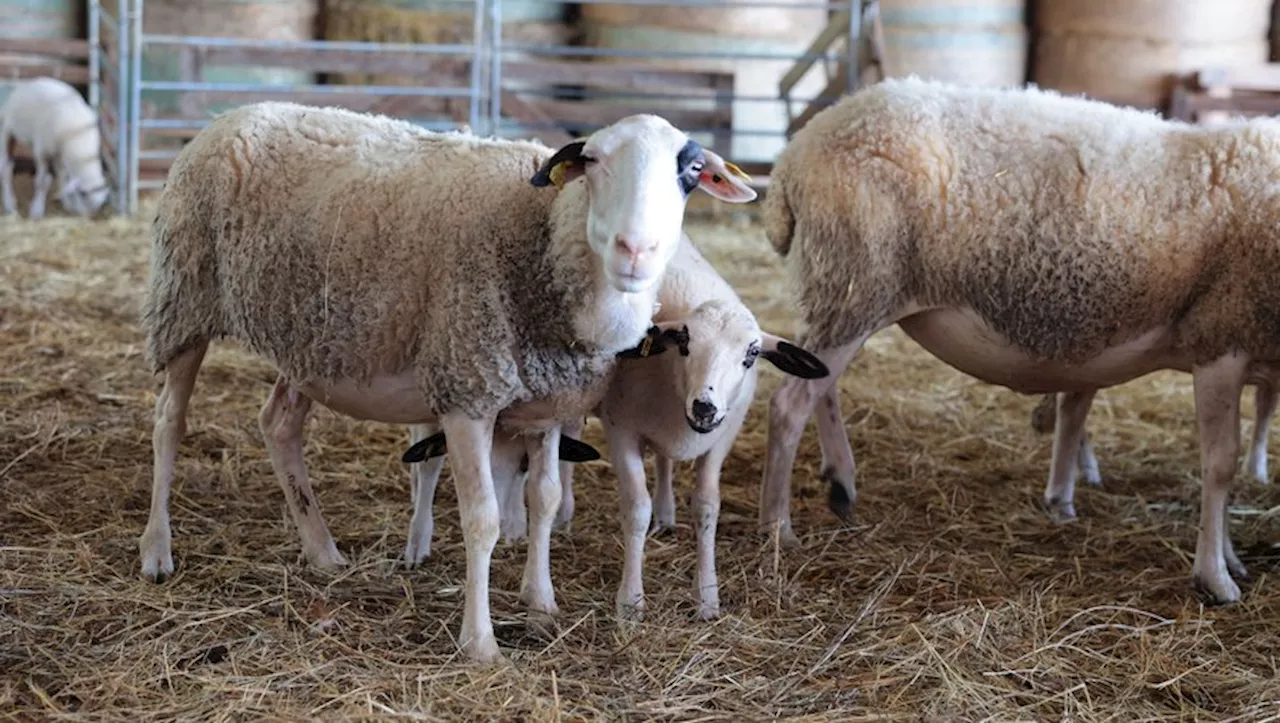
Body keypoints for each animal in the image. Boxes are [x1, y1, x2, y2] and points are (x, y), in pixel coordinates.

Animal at [1, 76, 110, 218]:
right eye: (83, 195)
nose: (85, 217)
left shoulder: (60, 154)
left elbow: (62, 176)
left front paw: (66, 202)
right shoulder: (42, 151)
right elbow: (41, 181)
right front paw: (36, 210)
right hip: (7, 130)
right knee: (6, 167)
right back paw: (9, 203)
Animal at [137, 98, 757, 660]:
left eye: (691, 171)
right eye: (594, 160)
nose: (636, 250)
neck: (545, 243)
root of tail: (229, 115)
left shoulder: (547, 406)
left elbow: (545, 500)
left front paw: (540, 601)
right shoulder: (467, 392)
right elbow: (482, 520)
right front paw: (479, 643)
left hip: (310, 341)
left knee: (278, 425)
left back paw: (322, 551)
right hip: (184, 298)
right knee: (168, 424)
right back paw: (156, 551)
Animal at [401, 231, 829, 619]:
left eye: (752, 354)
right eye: (685, 343)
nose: (704, 407)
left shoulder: (722, 437)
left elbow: (708, 508)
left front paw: (707, 599)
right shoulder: (621, 430)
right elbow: (635, 508)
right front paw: (631, 602)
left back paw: (661, 514)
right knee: (440, 461)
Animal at [752, 74, 1280, 603]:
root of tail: (798, 149)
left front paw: (1230, 559)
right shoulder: (1221, 338)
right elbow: (1220, 464)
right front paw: (1216, 578)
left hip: (845, 288)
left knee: (821, 385)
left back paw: (840, 482)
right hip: (858, 278)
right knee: (789, 405)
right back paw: (778, 527)